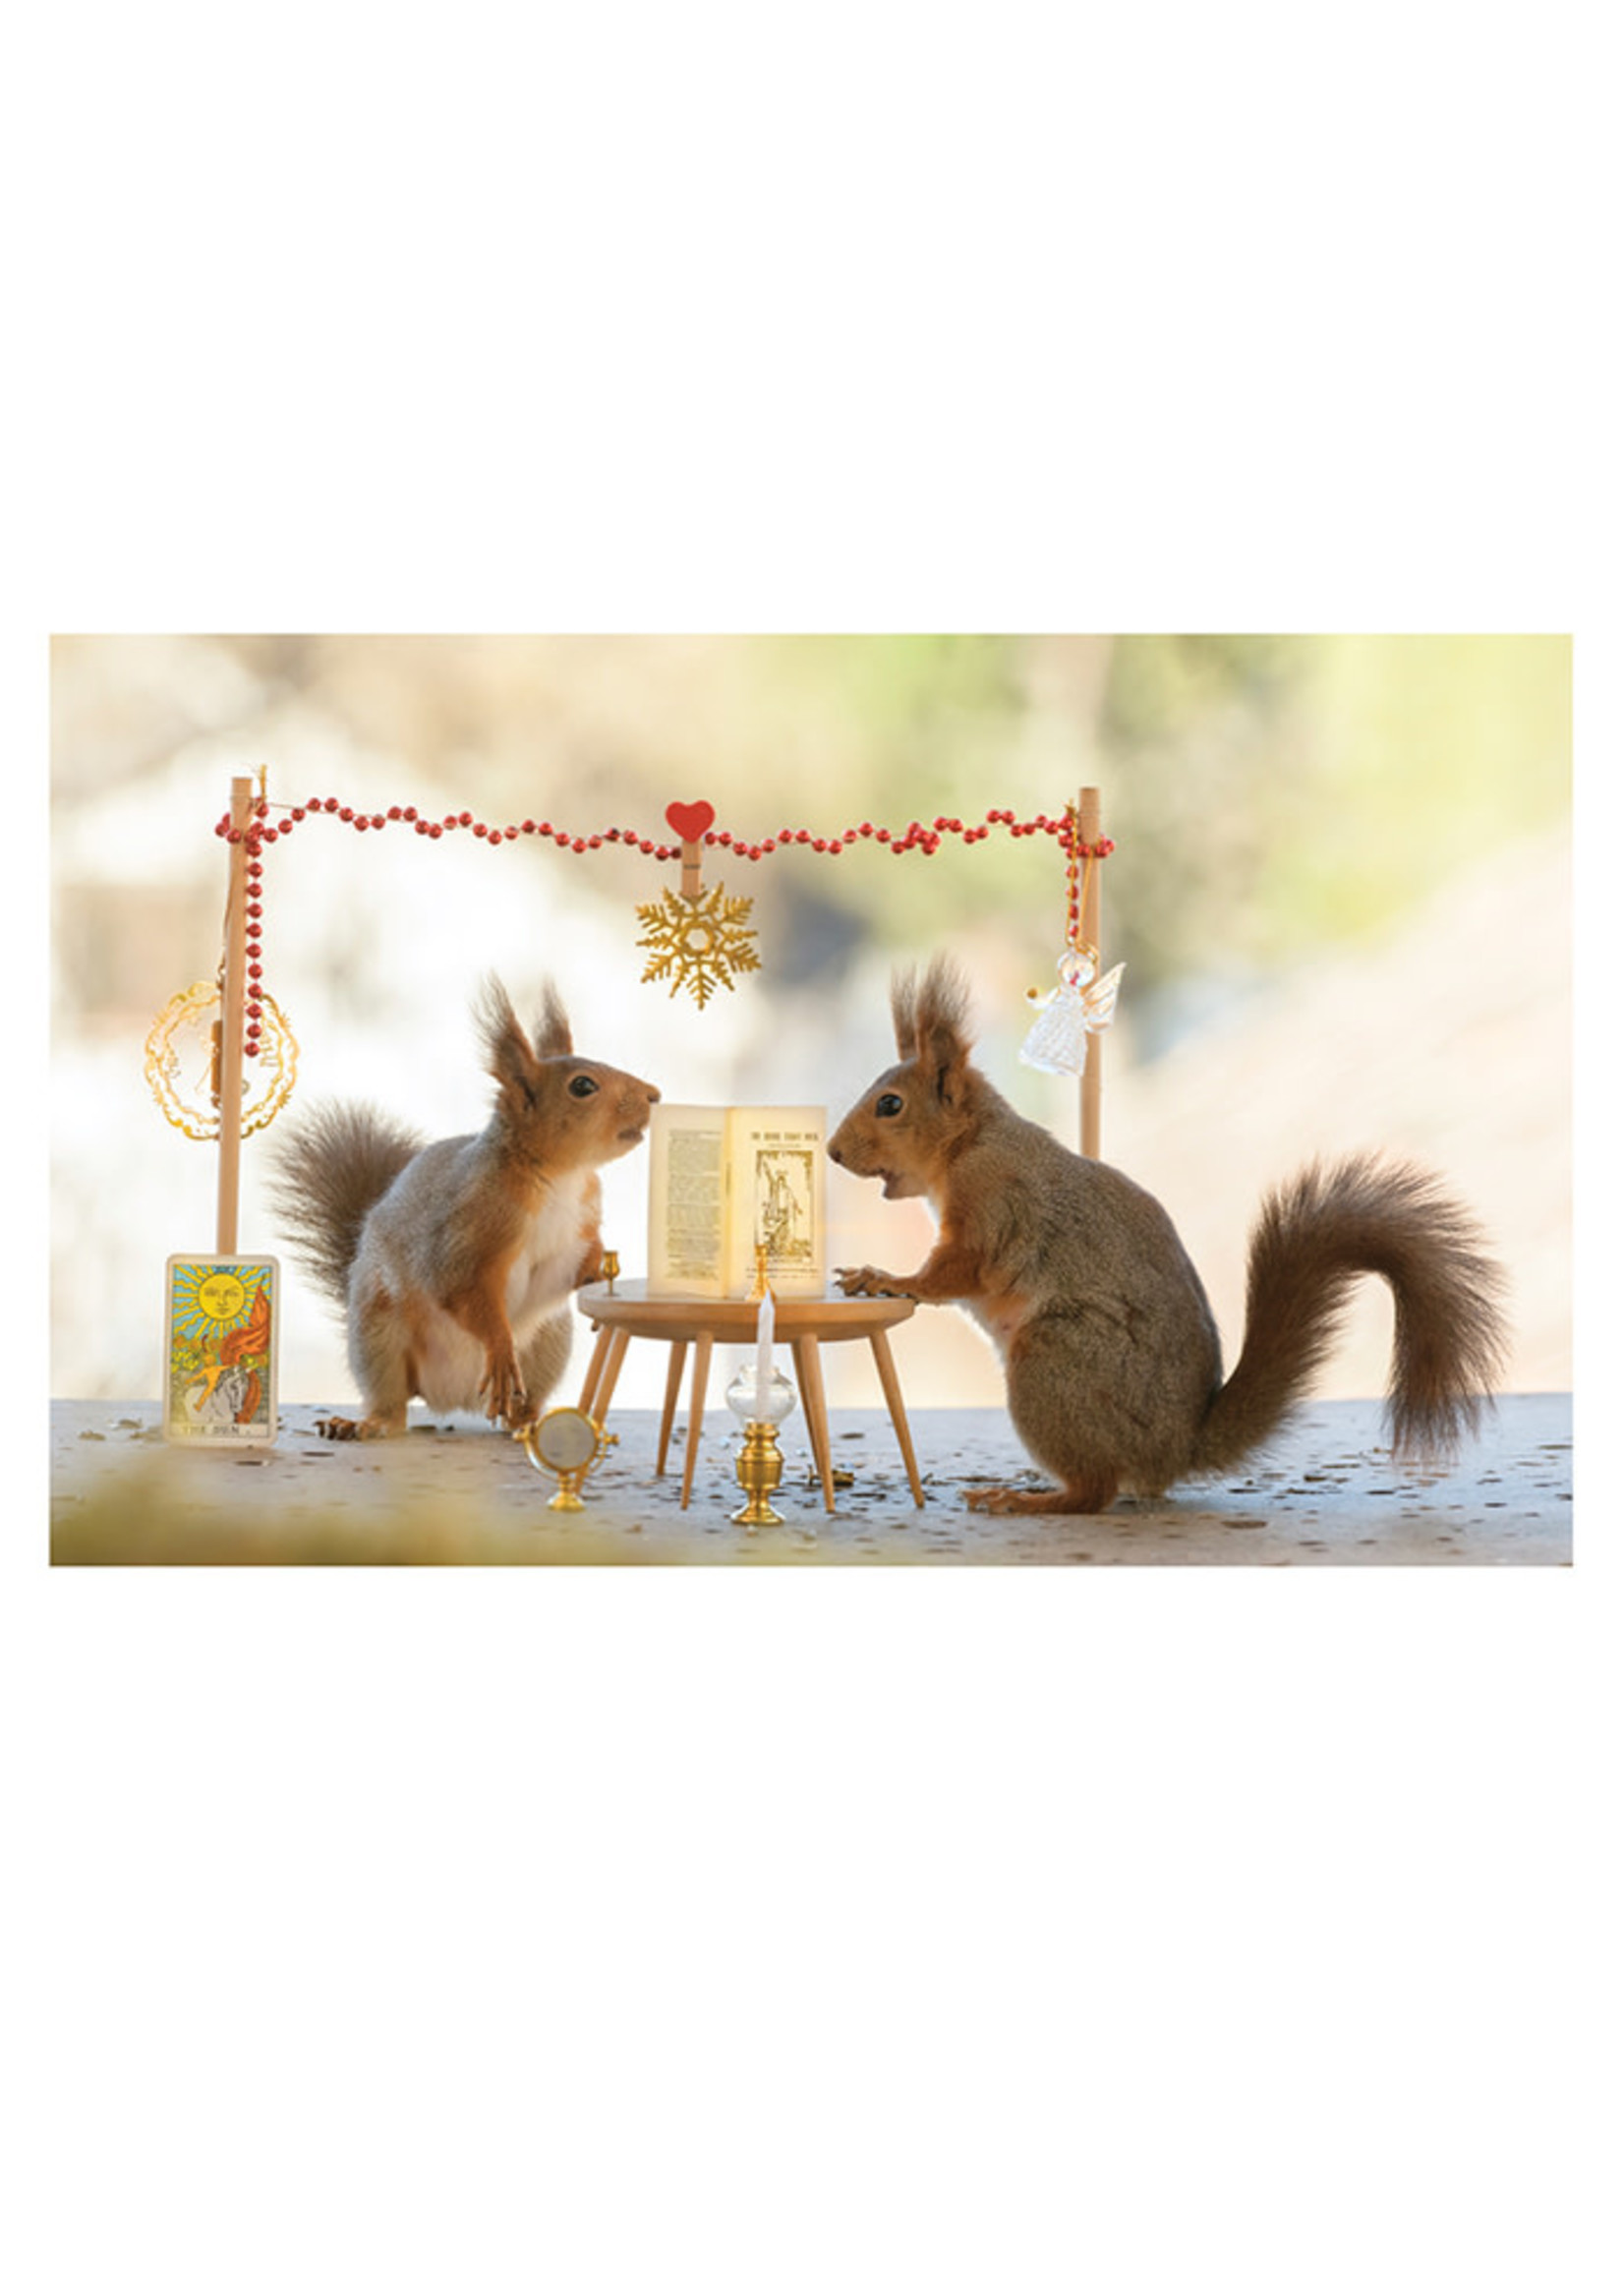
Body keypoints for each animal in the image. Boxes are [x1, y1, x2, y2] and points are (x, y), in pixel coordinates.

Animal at [268, 977, 660, 1439]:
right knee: (392, 1406)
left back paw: (530, 1422)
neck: (559, 1176)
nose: (654, 1095)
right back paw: (364, 1423)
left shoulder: (581, 1220)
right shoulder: (468, 1227)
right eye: (583, 1086)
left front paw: (598, 1270)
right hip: (379, 1332)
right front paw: (501, 1349)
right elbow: (463, 1291)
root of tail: (450, 1397)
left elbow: (580, 1257)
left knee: (521, 1404)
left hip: (550, 1339)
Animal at [829, 956, 1508, 1514]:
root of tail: (1176, 1449)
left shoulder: (995, 1205)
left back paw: (1027, 1499)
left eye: (890, 1105)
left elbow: (951, 1273)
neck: (970, 1145)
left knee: (1095, 1494)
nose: (833, 1152)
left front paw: (881, 1277)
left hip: (1055, 1361)